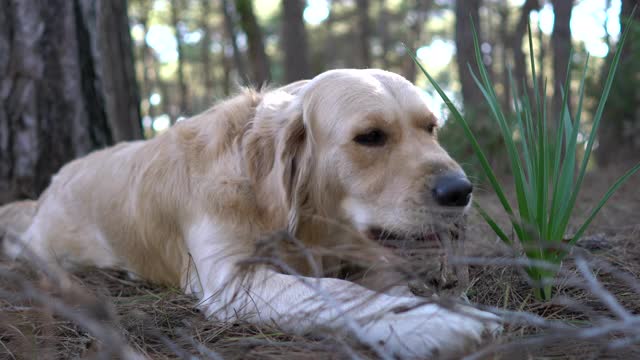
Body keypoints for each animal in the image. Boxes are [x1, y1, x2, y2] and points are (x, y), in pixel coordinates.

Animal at [0, 69, 500, 358]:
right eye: (371, 137)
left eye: (431, 128)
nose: (461, 191)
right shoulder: (233, 280)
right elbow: (336, 291)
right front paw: (433, 322)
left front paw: (437, 306)